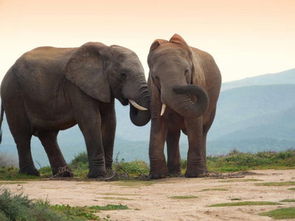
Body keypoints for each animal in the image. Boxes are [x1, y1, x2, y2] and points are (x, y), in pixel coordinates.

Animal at [0, 41, 150, 178]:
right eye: (123, 75)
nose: (129, 102)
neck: (105, 51)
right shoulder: (76, 87)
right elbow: (91, 121)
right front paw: (98, 176)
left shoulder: (103, 86)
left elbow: (110, 122)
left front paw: (109, 174)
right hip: (13, 95)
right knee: (23, 136)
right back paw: (31, 174)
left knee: (48, 136)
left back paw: (64, 174)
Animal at [148, 34, 222, 178]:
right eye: (156, 77)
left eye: (187, 71)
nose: (178, 87)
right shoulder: (153, 91)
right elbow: (158, 122)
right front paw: (157, 176)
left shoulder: (198, 80)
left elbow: (194, 122)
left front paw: (194, 175)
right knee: (173, 134)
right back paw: (173, 173)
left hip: (212, 107)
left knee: (203, 131)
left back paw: (203, 172)